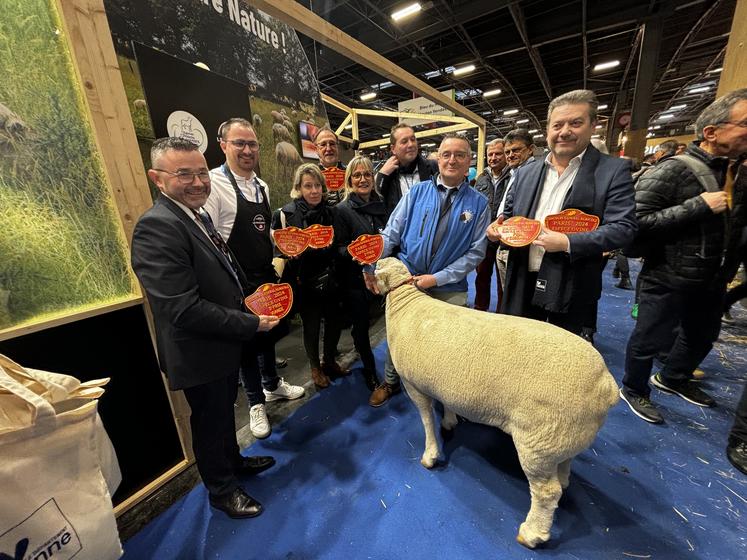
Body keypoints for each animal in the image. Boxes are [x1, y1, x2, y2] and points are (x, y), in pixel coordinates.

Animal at [374, 258, 620, 548]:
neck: (405, 304)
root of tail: (606, 384)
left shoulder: (413, 384)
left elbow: (425, 419)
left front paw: (430, 455)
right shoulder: (445, 381)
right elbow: (447, 404)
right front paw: (450, 421)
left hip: (537, 440)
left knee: (547, 493)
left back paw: (532, 534)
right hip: (562, 435)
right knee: (565, 465)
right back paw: (564, 481)